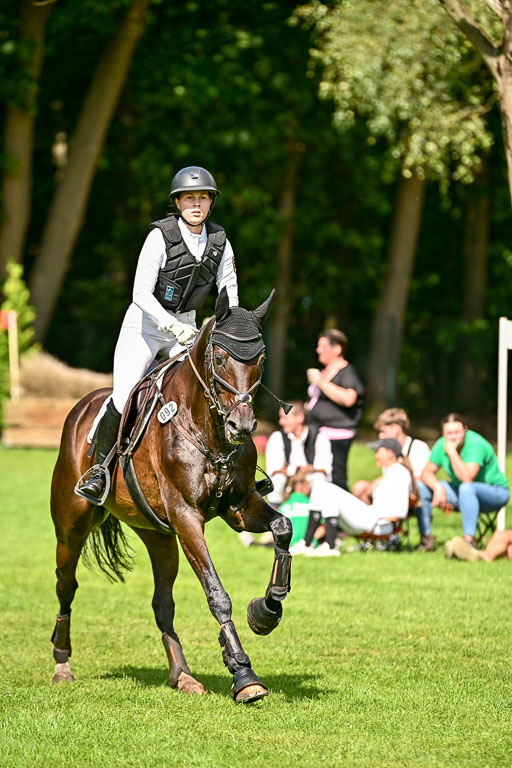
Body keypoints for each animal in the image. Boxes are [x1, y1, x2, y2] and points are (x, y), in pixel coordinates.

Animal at [50, 288, 293, 703]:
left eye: (260, 360)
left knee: (162, 603)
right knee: (66, 585)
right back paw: (62, 664)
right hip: (71, 524)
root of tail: (81, 407)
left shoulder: (239, 507)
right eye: (219, 358)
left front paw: (265, 611)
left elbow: (283, 527)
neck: (209, 428)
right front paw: (243, 675)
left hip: (158, 535)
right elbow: (216, 593)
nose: (242, 427)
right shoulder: (186, 516)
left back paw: (183, 675)